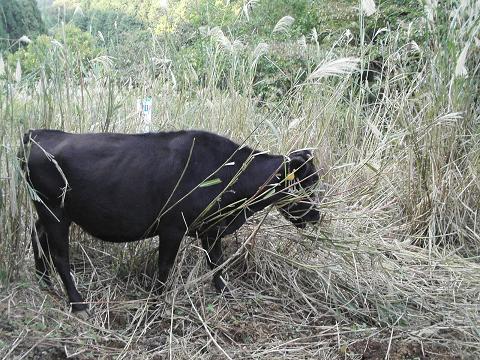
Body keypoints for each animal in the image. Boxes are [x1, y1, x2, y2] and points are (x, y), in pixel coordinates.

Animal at [23, 130, 322, 312]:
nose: (317, 215)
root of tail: (39, 133)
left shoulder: (210, 229)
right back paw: (78, 304)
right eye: (305, 184)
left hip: (47, 213)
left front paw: (225, 293)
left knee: (37, 236)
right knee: (60, 255)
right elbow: (165, 268)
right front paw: (155, 302)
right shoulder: (172, 228)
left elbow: (216, 263)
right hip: (55, 212)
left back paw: (44, 282)